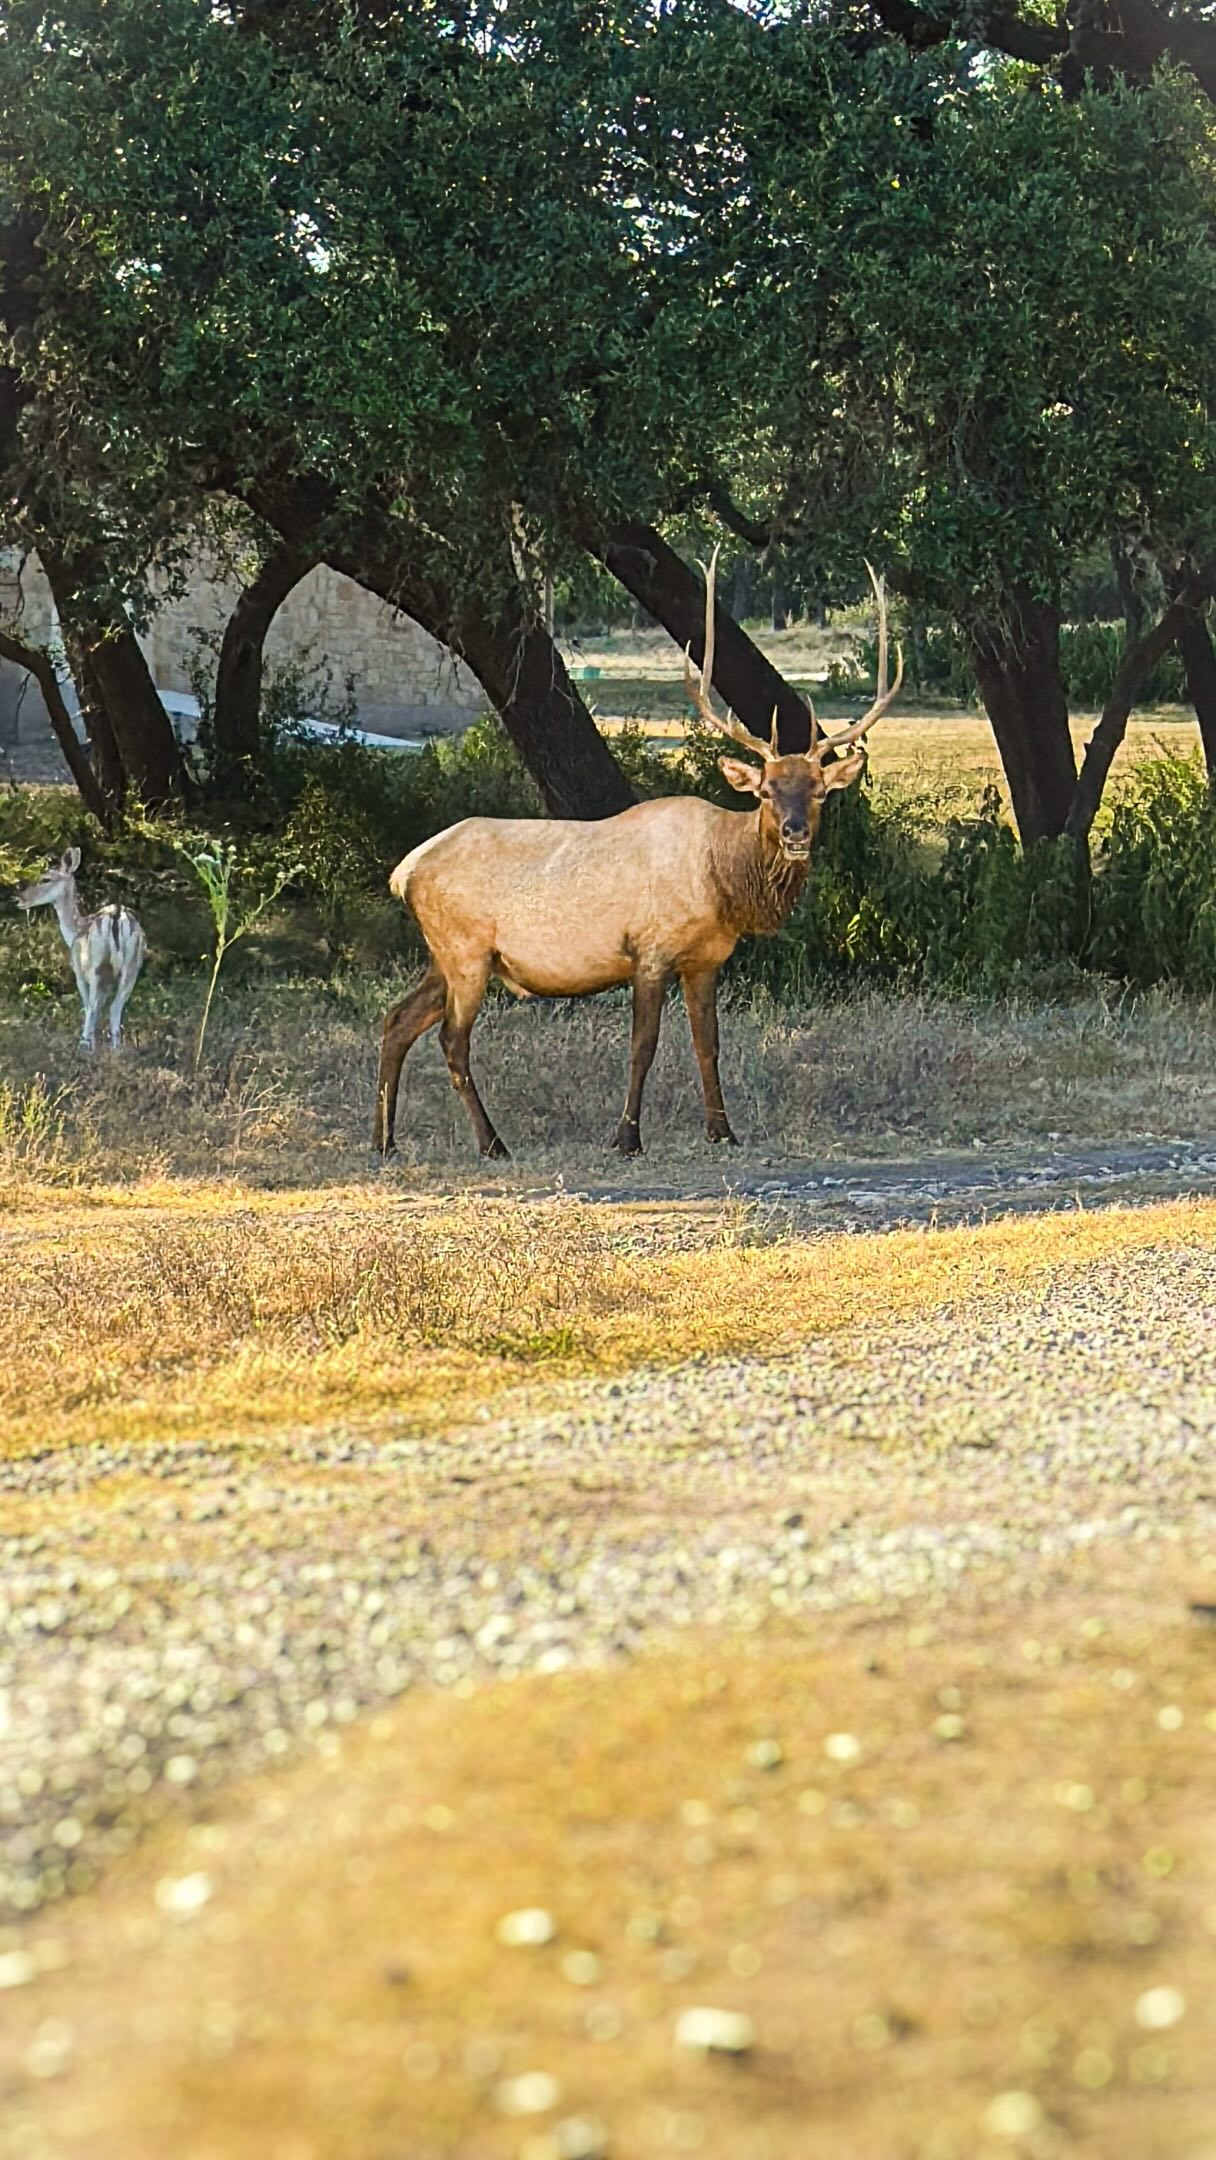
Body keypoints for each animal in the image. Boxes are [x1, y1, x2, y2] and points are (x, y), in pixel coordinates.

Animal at [16, 847, 147, 1052]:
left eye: (45, 879)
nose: (20, 898)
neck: (74, 930)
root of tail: (117, 918)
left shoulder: (78, 971)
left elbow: (87, 1005)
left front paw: (89, 1042)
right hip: (132, 966)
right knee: (115, 1006)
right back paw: (116, 1049)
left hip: (95, 965)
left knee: (93, 1006)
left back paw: (84, 1045)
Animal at [375, 553, 902, 1159]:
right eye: (767, 791)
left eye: (818, 790)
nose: (795, 833)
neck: (723, 886)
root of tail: (403, 871)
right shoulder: (648, 951)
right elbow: (643, 1046)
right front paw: (626, 1136)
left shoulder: (705, 960)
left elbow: (708, 1044)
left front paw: (723, 1131)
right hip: (465, 950)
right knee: (451, 1040)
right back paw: (492, 1143)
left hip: (445, 955)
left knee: (397, 1019)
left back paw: (384, 1140)